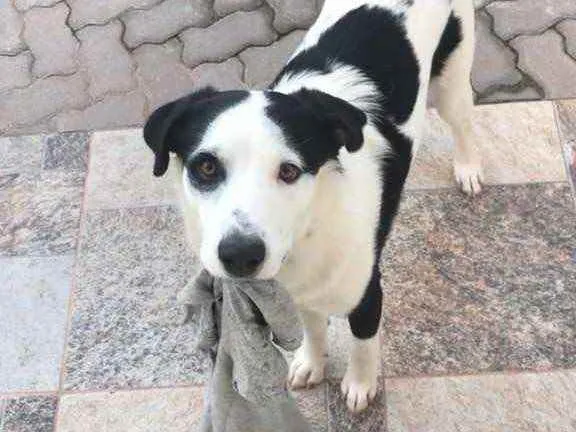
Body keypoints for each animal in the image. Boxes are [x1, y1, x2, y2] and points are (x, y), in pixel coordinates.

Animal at [143, 0, 482, 413]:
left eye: (289, 171)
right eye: (206, 167)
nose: (240, 255)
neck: (308, 231)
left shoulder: (367, 293)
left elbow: (364, 343)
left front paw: (360, 384)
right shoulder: (299, 291)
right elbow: (312, 326)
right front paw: (311, 362)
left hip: (452, 79)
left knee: (463, 123)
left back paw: (468, 168)